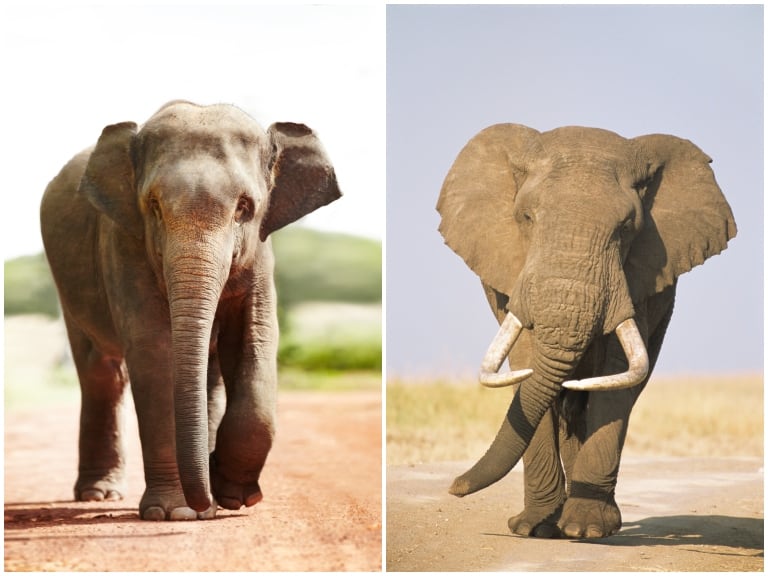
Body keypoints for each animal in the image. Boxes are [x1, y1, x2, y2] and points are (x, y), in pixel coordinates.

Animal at [40, 100, 341, 520]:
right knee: (101, 373)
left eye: (244, 207)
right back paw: (99, 495)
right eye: (153, 206)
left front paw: (231, 497)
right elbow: (155, 351)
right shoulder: (124, 243)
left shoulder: (260, 254)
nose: (205, 501)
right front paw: (177, 513)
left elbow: (254, 344)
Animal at [437, 124, 736, 538]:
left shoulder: (641, 274)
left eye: (627, 227)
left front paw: (587, 529)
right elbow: (527, 360)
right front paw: (533, 528)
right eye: (526, 217)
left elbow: (614, 372)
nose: (454, 487)